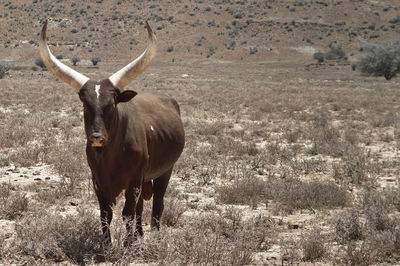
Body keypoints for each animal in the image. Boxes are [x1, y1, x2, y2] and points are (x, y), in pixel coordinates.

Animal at [39, 19, 186, 245]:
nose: (96, 138)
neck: (109, 156)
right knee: (141, 208)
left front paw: (127, 245)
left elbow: (127, 213)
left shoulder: (134, 179)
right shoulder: (98, 180)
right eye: (85, 104)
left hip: (165, 170)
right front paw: (107, 244)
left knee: (157, 204)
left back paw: (154, 236)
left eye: (111, 105)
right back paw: (139, 236)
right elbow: (106, 213)